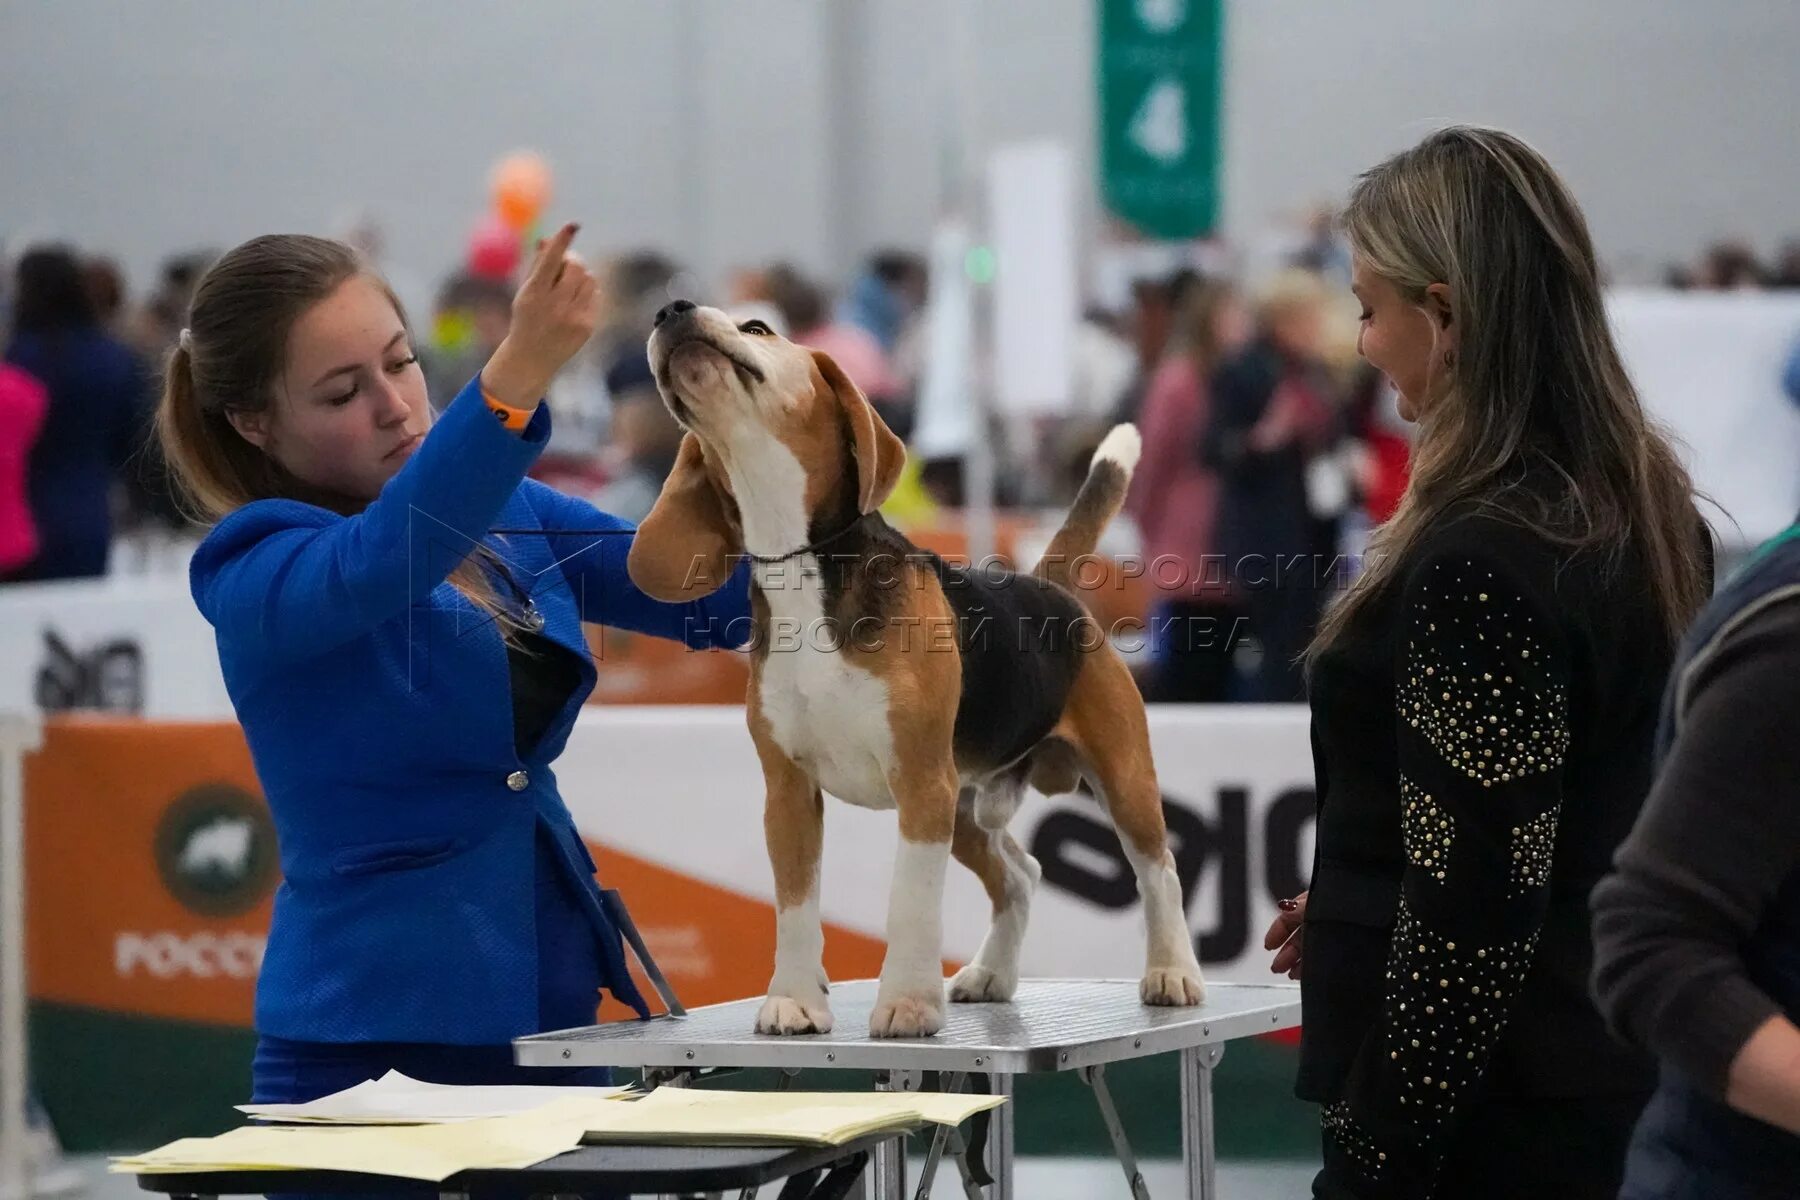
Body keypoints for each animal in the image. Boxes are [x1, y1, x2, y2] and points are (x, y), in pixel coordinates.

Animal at [633, 295, 1209, 1036]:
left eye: (758, 329)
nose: (671, 309)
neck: (801, 561)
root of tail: (1046, 585)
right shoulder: (788, 793)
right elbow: (795, 906)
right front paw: (793, 998)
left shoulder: (920, 784)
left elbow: (909, 901)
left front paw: (906, 1002)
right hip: (966, 808)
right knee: (1022, 874)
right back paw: (993, 973)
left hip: (1117, 776)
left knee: (1158, 869)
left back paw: (1172, 971)